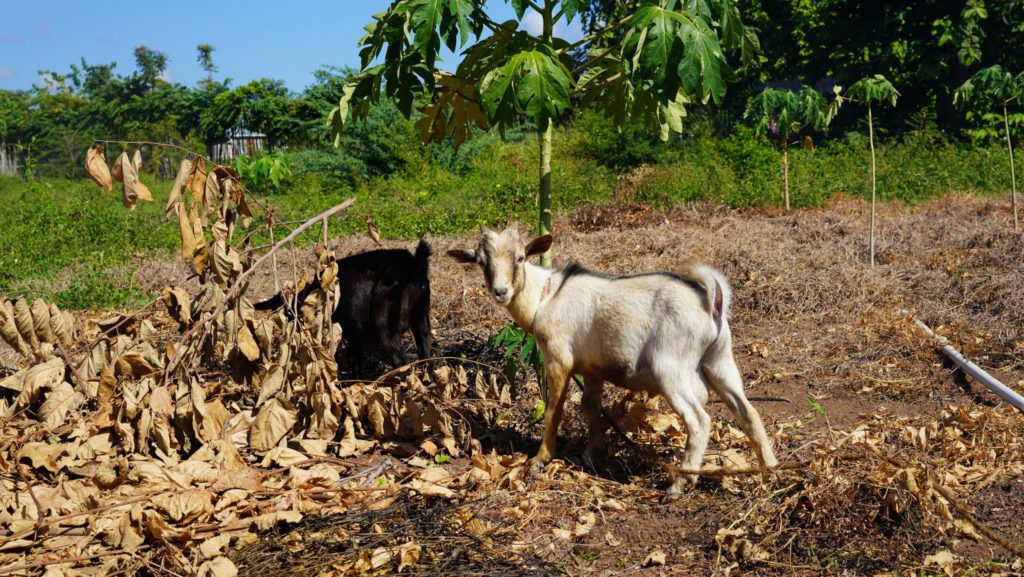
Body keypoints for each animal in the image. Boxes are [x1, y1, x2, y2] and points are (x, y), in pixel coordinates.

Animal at [258, 239, 434, 371]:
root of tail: (413, 266)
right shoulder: (355, 336)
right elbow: (356, 361)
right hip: (421, 318)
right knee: (425, 352)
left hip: (387, 326)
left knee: (402, 361)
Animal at [448, 228, 774, 493]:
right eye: (481, 262)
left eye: (519, 258)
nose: (500, 291)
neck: (545, 296)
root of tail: (712, 303)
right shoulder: (592, 369)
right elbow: (591, 408)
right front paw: (592, 456)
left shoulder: (558, 358)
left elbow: (554, 408)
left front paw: (541, 458)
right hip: (720, 361)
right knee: (748, 412)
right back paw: (770, 474)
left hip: (670, 368)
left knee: (699, 419)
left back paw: (681, 483)